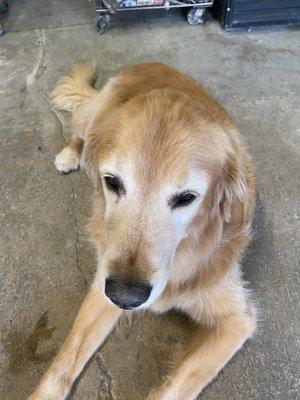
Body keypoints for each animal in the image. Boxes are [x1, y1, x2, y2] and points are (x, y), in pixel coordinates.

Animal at [28, 62, 256, 400]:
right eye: (112, 182)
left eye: (186, 198)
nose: (124, 297)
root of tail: (150, 63)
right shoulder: (103, 282)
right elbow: (64, 360)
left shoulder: (236, 320)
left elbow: (174, 387)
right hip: (92, 115)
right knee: (78, 128)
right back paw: (70, 155)